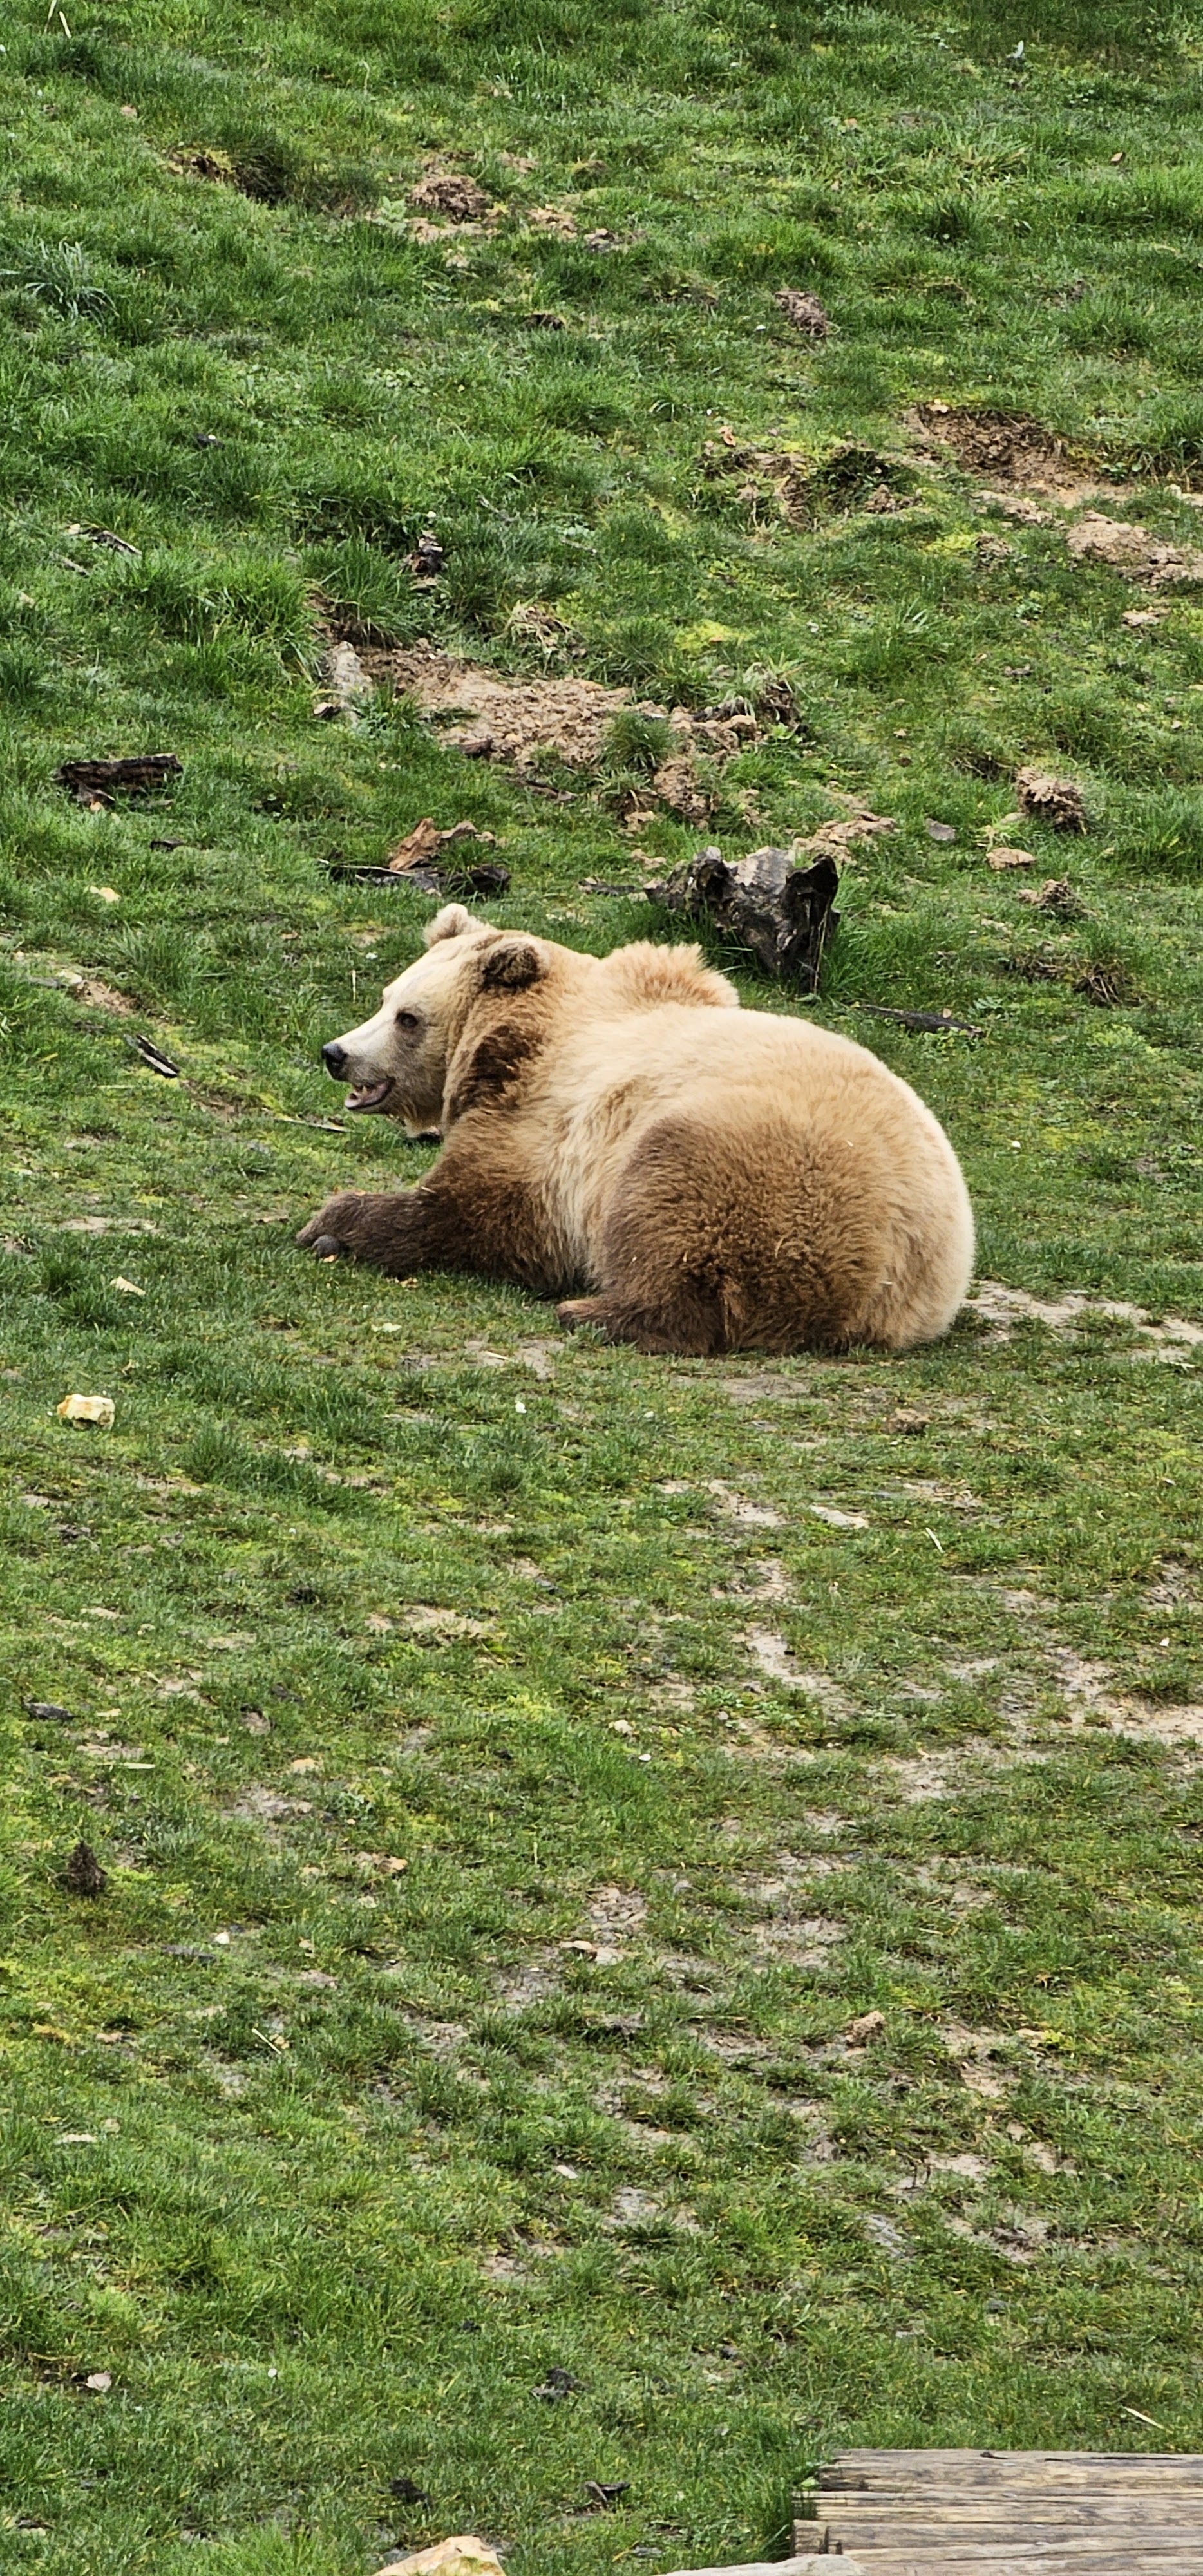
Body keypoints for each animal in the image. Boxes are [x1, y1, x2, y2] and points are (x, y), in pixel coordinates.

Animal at [297, 904, 975, 1356]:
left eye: (408, 1017)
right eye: (385, 998)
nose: (337, 1053)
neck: (507, 1043)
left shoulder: (552, 1126)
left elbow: (483, 1215)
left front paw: (334, 1223)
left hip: (760, 1166)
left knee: (675, 1221)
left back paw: (593, 1312)